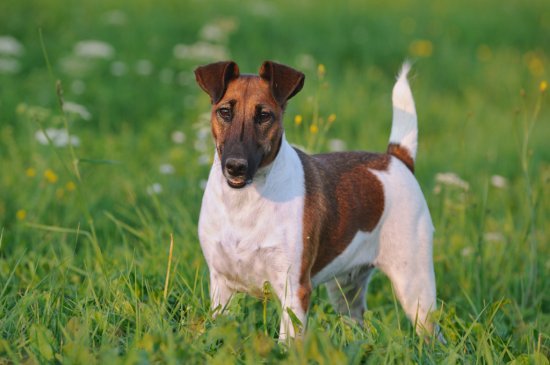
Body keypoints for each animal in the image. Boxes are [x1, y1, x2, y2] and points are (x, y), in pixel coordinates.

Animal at [196, 59, 442, 338]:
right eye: (225, 112)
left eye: (264, 116)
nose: (235, 166)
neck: (244, 202)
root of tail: (397, 158)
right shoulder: (221, 288)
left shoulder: (294, 290)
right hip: (346, 292)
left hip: (416, 290)